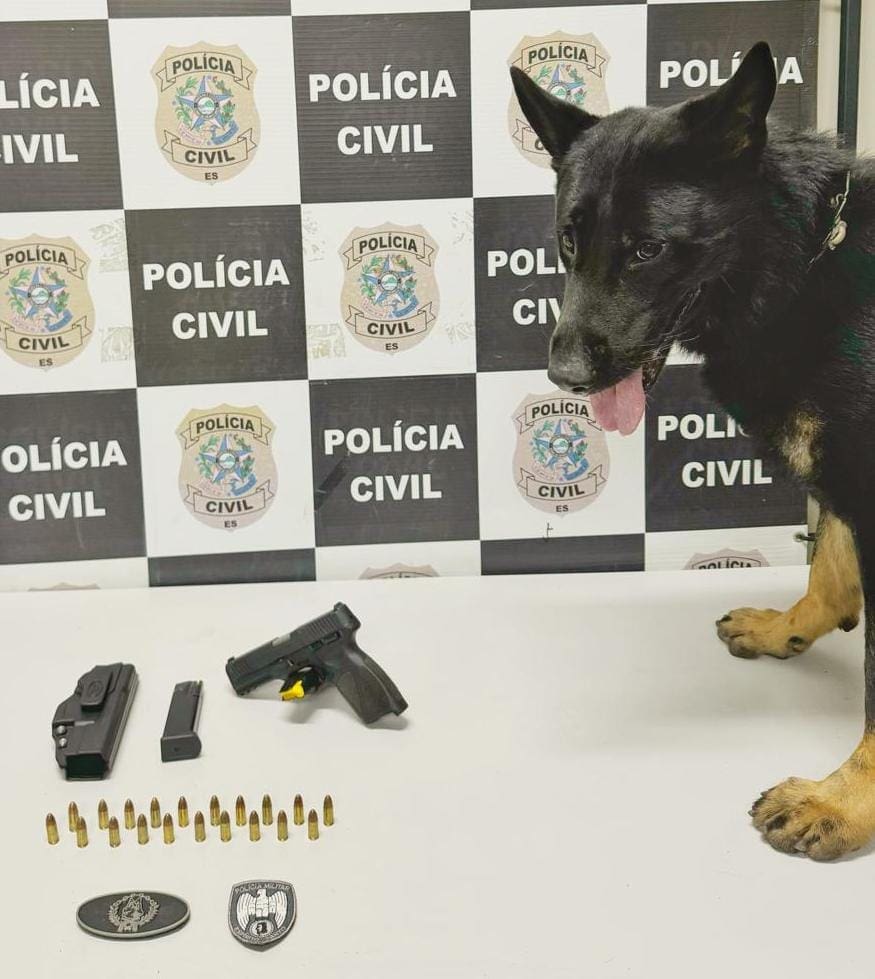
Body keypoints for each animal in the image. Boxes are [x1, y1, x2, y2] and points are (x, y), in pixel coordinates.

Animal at [512, 42, 875, 860]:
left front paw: (844, 802)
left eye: (647, 250)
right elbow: (831, 568)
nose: (563, 379)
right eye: (569, 242)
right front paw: (792, 624)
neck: (805, 261)